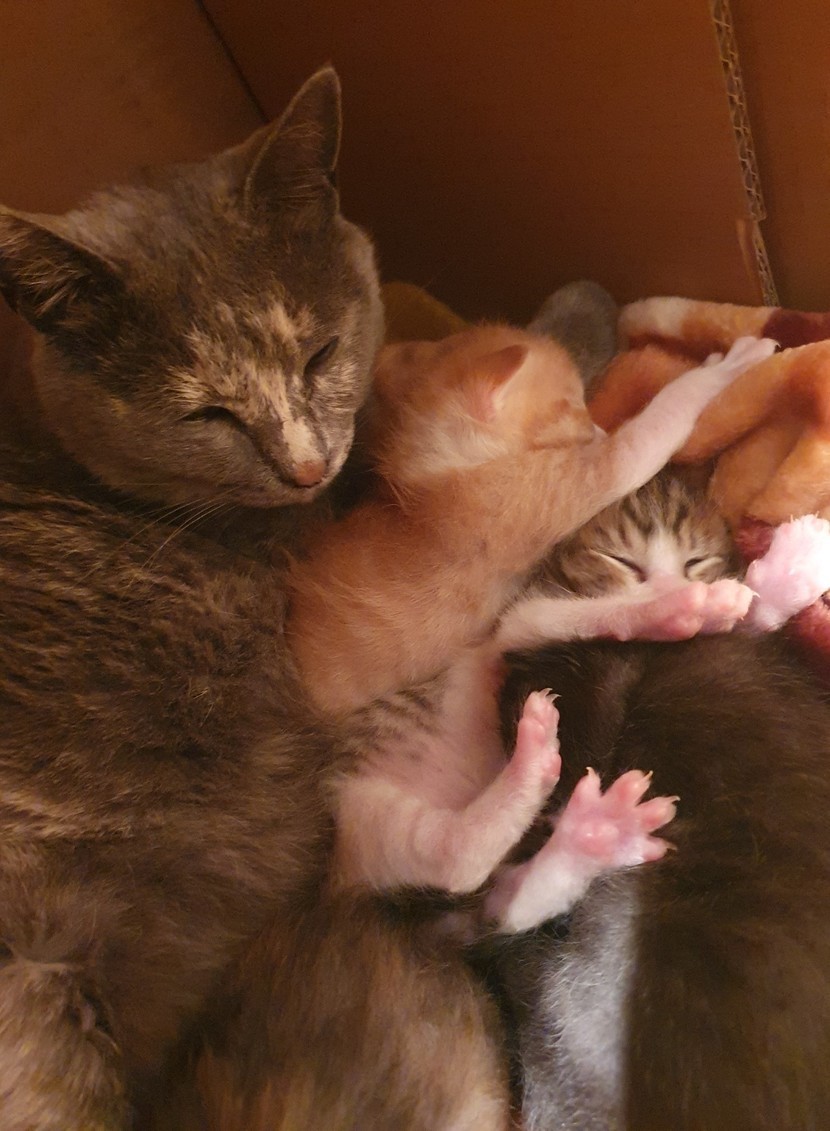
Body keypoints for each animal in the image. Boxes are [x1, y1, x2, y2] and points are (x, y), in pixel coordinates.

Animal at [158, 326, 777, 1130]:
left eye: (700, 554)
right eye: (573, 407)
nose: (598, 423)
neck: (441, 477)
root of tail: (335, 893)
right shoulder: (526, 586)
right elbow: (640, 458)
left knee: (500, 899)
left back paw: (593, 834)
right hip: (367, 815)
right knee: (459, 861)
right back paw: (534, 773)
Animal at [486, 471, 830, 1130]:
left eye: (697, 558)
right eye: (620, 560)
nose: (683, 587)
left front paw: (778, 577)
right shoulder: (543, 656)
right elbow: (551, 614)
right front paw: (684, 607)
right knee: (507, 901)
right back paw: (587, 829)